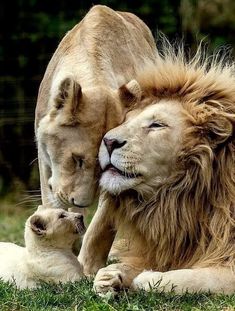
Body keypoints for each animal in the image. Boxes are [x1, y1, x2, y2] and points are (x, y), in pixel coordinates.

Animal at [79, 43, 235, 294]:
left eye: (156, 125)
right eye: (125, 120)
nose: (108, 141)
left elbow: (197, 278)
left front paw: (149, 279)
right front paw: (111, 275)